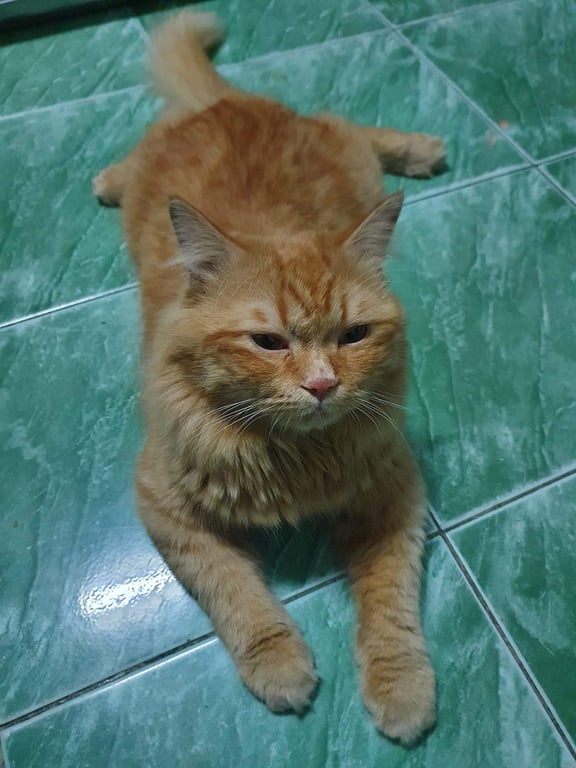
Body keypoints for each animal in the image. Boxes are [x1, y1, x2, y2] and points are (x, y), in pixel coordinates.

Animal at [93, 11, 445, 743]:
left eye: (353, 336)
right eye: (269, 342)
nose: (322, 385)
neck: (294, 457)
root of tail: (224, 106)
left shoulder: (394, 491)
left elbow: (391, 602)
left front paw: (401, 685)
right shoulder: (164, 504)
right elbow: (234, 591)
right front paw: (278, 662)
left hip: (350, 156)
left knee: (352, 123)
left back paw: (420, 146)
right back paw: (108, 178)